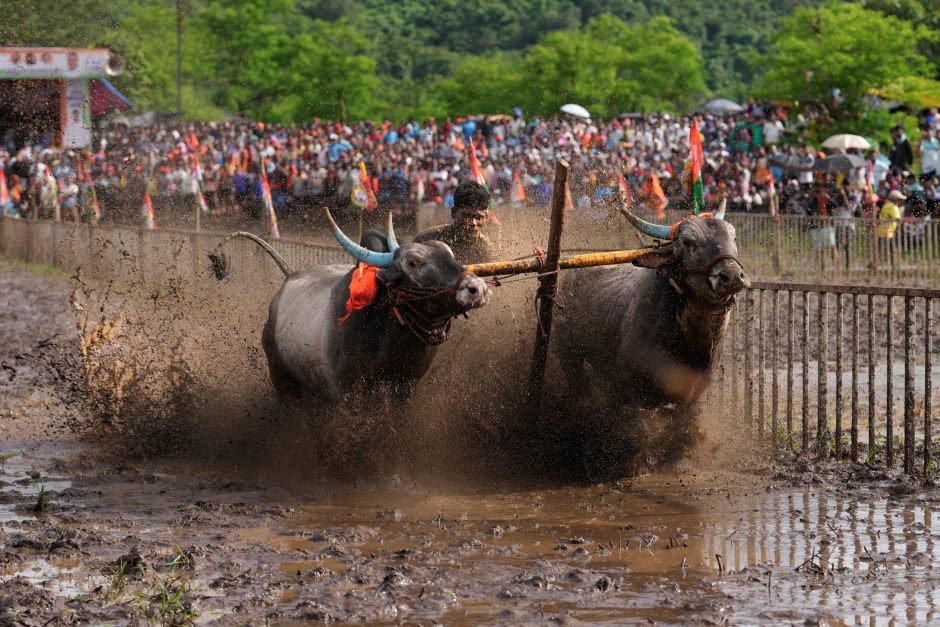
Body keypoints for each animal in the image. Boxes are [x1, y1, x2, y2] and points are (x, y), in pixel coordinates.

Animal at [211, 212, 492, 402]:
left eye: (450, 253)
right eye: (413, 263)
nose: (476, 287)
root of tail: (290, 276)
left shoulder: (405, 388)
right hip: (282, 379)